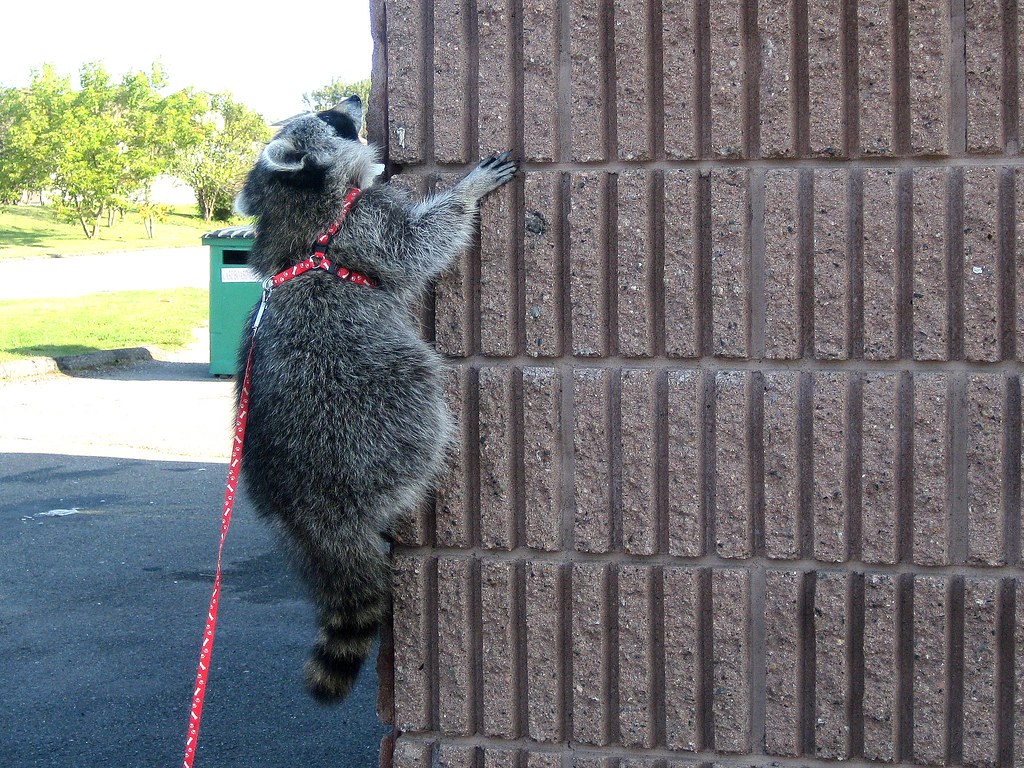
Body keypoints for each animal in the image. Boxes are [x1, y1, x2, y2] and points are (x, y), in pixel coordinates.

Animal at [234, 95, 517, 702]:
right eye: (331, 118)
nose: (354, 99)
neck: (294, 206)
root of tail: (313, 517)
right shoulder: (363, 223)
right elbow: (415, 248)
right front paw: (465, 191)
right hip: (377, 417)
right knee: (421, 402)